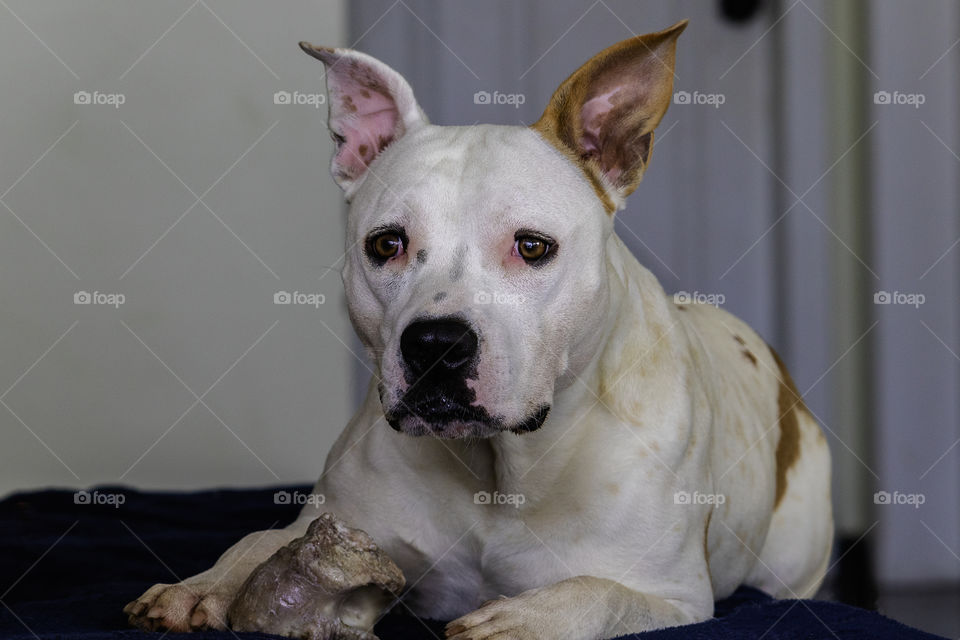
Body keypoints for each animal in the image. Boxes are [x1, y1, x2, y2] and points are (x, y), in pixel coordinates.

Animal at [125, 20, 832, 640]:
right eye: (386, 244)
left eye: (532, 246)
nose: (436, 345)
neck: (498, 470)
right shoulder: (343, 527)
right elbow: (259, 540)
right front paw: (203, 584)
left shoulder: (676, 598)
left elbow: (599, 594)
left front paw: (525, 619)